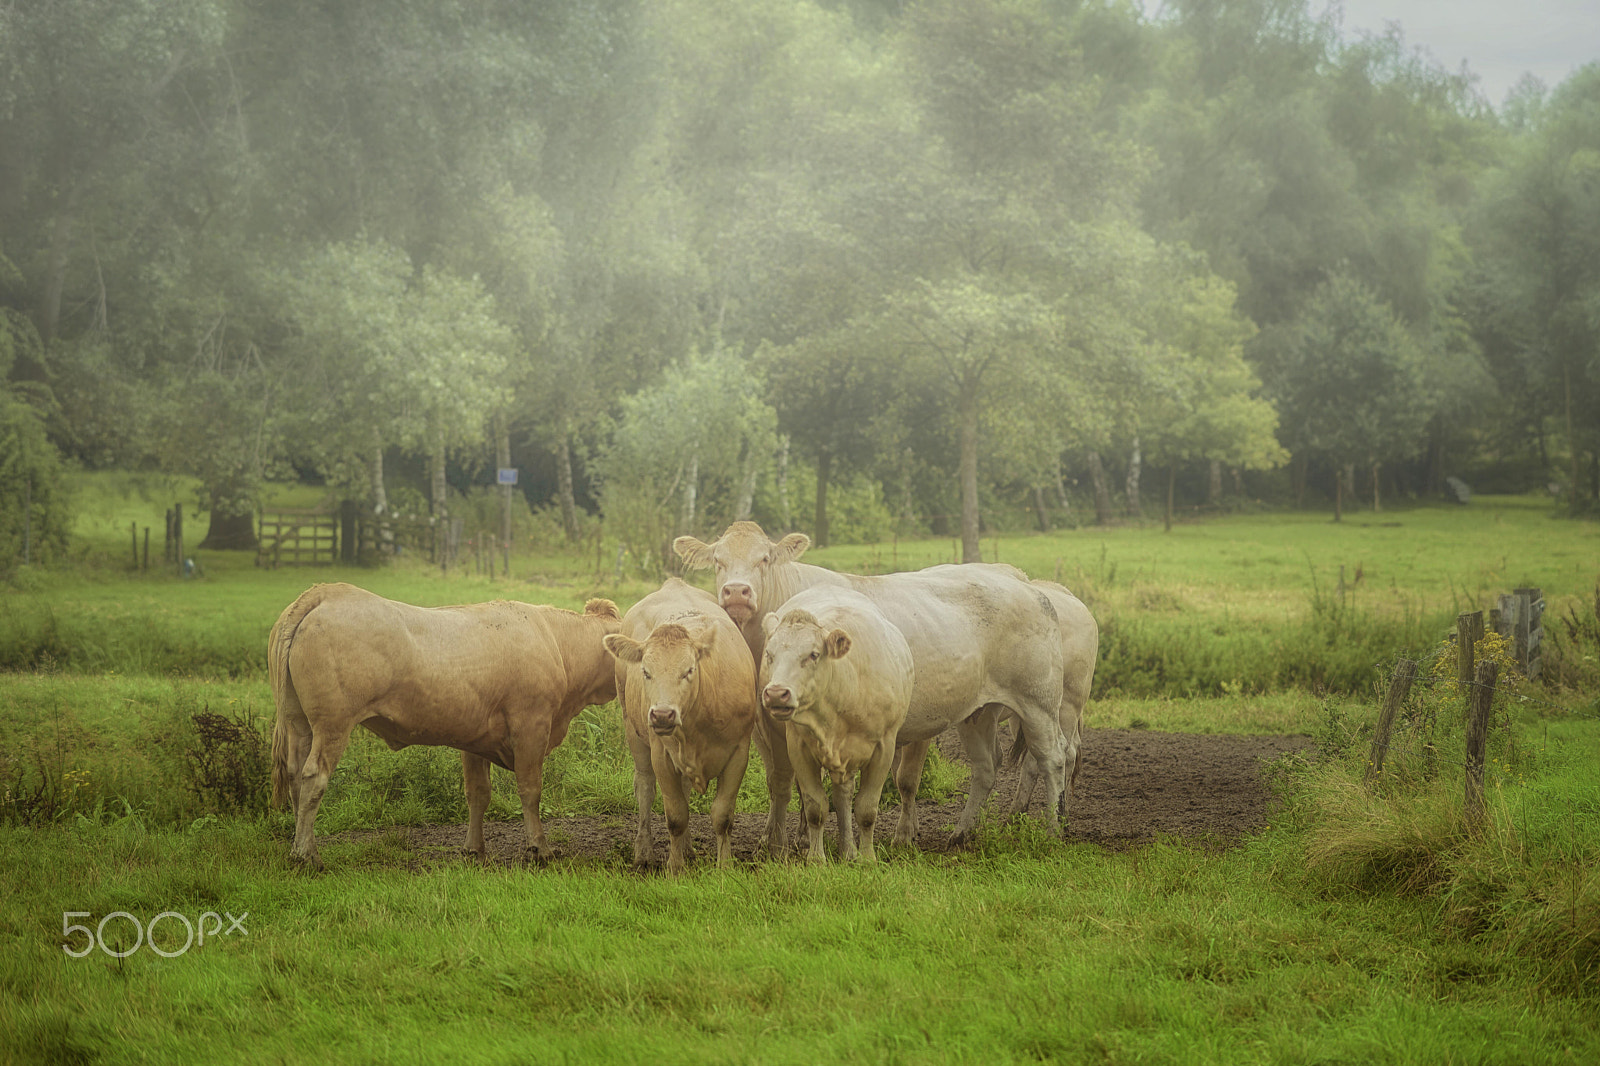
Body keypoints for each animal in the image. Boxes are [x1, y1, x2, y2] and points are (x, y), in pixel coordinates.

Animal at [601, 582, 758, 870]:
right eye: (646, 672)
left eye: (689, 670)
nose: (662, 715)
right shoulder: (661, 754)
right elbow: (675, 816)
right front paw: (675, 868)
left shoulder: (739, 753)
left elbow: (722, 815)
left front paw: (725, 866)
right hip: (633, 731)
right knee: (645, 788)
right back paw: (644, 852)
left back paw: (687, 849)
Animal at [758, 585, 915, 857]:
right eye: (770, 654)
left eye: (813, 654)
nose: (776, 693)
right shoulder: (798, 747)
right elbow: (815, 807)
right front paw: (816, 858)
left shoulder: (884, 748)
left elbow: (866, 810)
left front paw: (867, 858)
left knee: (844, 795)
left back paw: (849, 851)